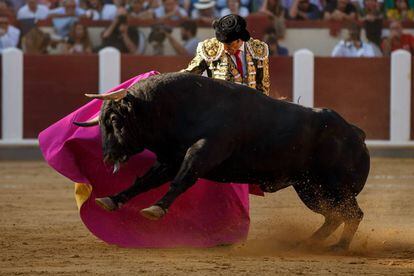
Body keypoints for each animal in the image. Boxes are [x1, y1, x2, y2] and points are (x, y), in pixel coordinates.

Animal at [73, 72, 368, 251]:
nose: (108, 156)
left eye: (115, 120)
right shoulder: (170, 160)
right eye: (101, 122)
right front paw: (111, 199)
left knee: (353, 214)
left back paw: (338, 247)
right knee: (334, 216)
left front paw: (155, 209)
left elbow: (183, 179)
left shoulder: (203, 152)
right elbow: (144, 181)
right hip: (309, 188)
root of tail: (355, 132)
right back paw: (307, 243)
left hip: (336, 186)